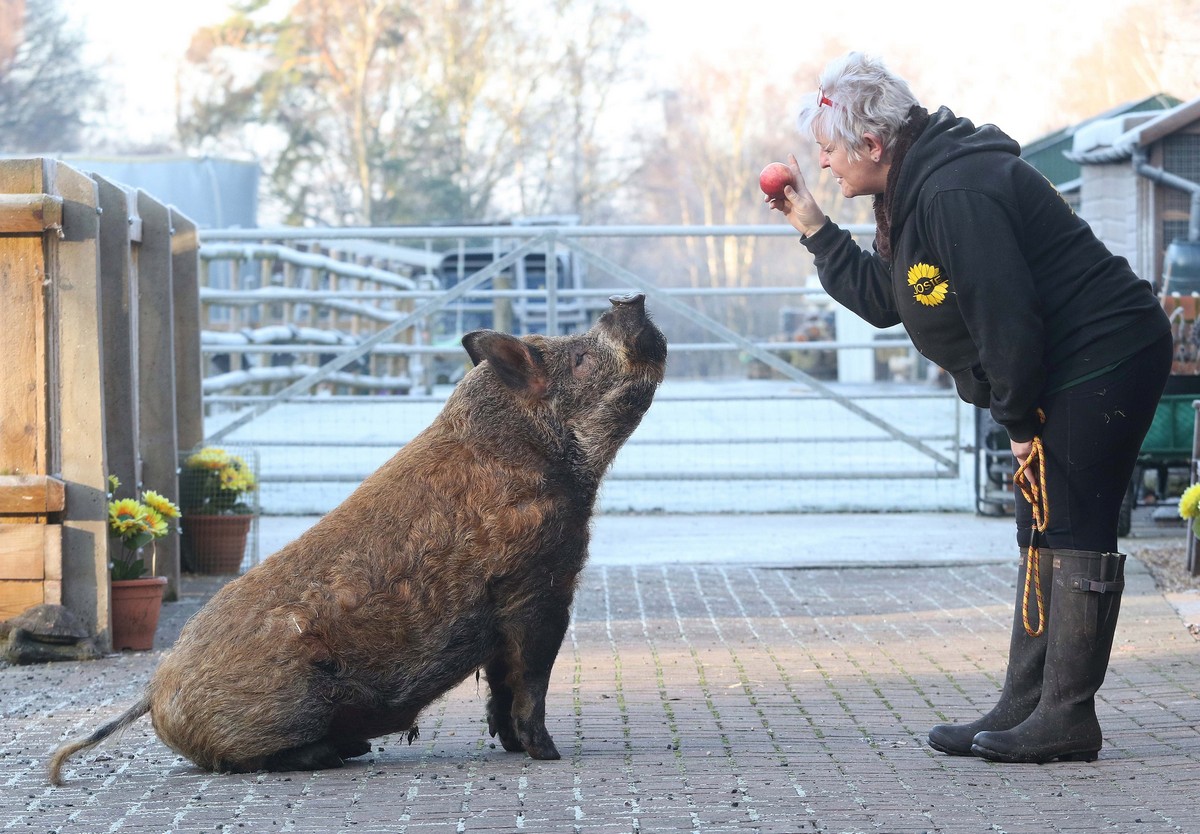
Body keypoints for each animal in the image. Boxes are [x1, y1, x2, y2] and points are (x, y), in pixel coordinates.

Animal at [49, 291, 667, 782]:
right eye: (580, 357)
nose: (628, 299)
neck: (549, 458)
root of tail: (153, 694)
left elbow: (500, 683)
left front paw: (516, 749)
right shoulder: (537, 583)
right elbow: (529, 678)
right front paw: (549, 754)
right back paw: (347, 751)